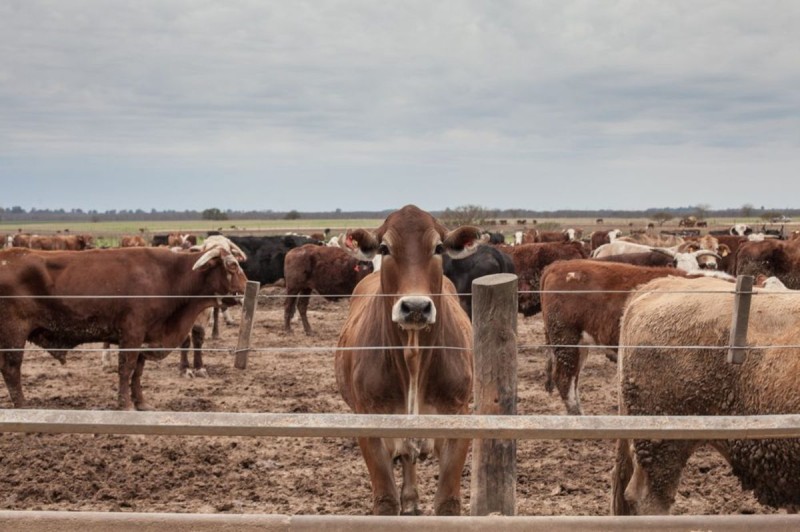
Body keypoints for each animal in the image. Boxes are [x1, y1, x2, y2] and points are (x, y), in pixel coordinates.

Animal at [0, 238, 245, 412]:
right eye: (232, 265)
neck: (168, 276)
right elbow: (126, 369)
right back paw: (22, 407)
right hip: (14, 335)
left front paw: (141, 403)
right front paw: (125, 404)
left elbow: (138, 370)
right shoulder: (131, 334)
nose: (245, 287)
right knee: (11, 369)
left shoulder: (145, 336)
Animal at [332, 205, 478, 516]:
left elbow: (447, 502)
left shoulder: (456, 420)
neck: (413, 358)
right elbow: (386, 500)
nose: (415, 307)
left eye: (438, 247)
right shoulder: (371, 427)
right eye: (385, 248)